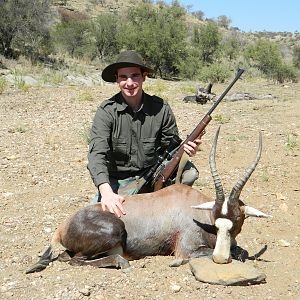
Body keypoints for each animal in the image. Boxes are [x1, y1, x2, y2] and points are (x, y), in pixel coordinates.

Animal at [25, 127, 270, 274]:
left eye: (236, 220)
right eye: (217, 218)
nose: (220, 258)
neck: (199, 213)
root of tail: (62, 227)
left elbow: (241, 252)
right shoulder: (187, 249)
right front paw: (177, 262)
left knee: (66, 257)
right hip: (113, 232)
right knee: (74, 260)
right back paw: (121, 263)